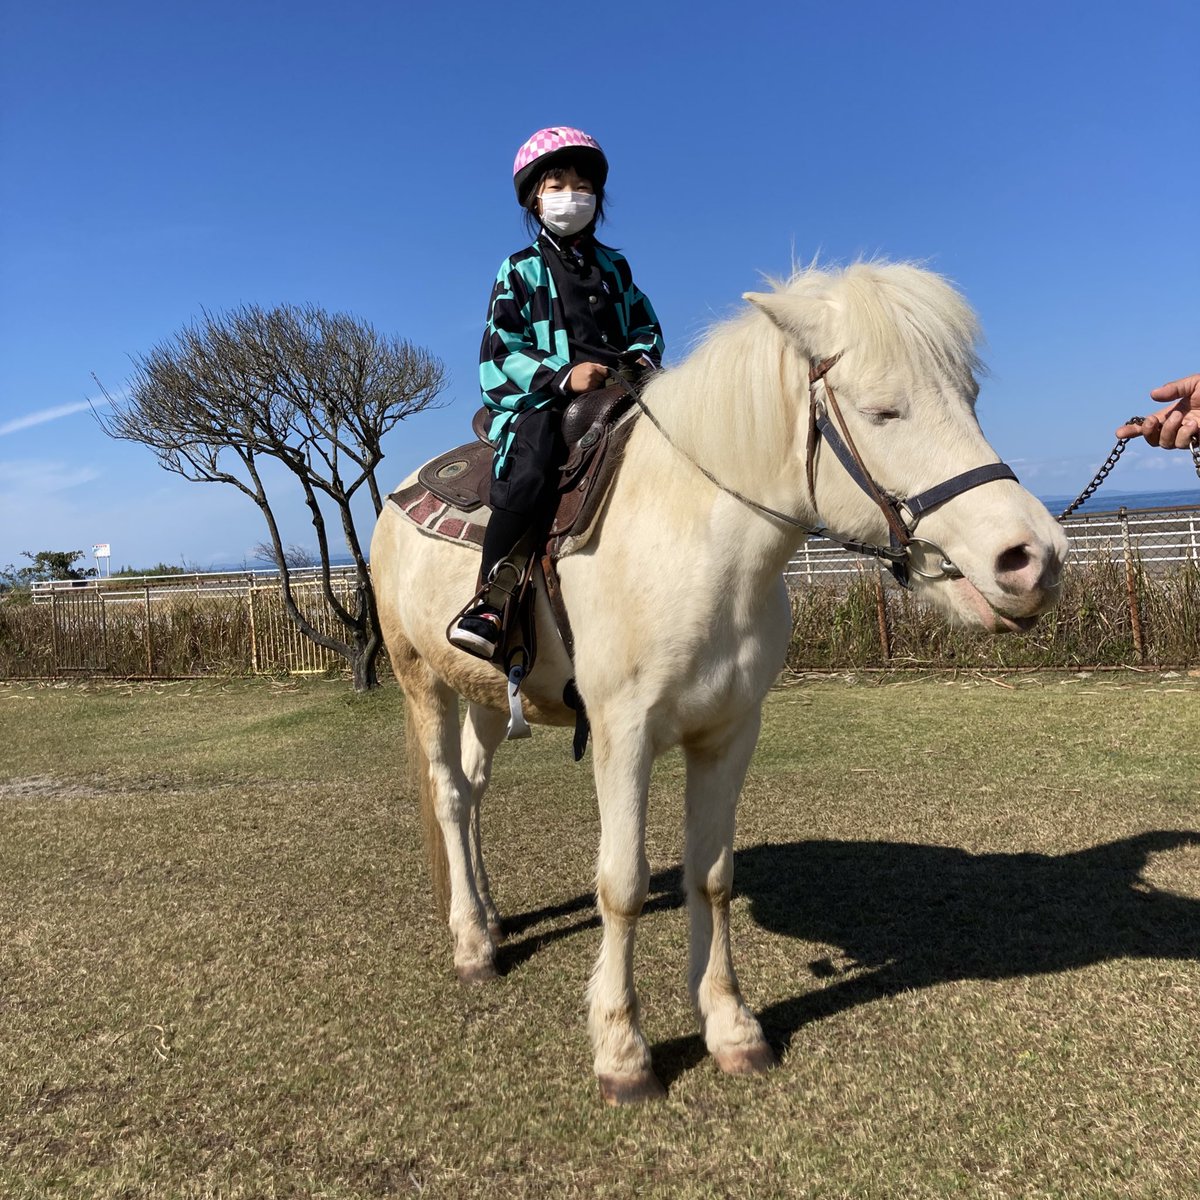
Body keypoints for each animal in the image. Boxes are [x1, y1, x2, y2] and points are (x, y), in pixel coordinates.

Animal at [369, 262, 1065, 1104]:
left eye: (969, 397)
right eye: (883, 410)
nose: (1033, 558)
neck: (694, 539)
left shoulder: (732, 732)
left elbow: (712, 877)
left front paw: (730, 1028)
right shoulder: (624, 734)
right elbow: (623, 884)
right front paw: (622, 1051)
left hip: (481, 694)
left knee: (471, 795)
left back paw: (493, 915)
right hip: (420, 681)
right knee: (447, 795)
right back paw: (472, 942)